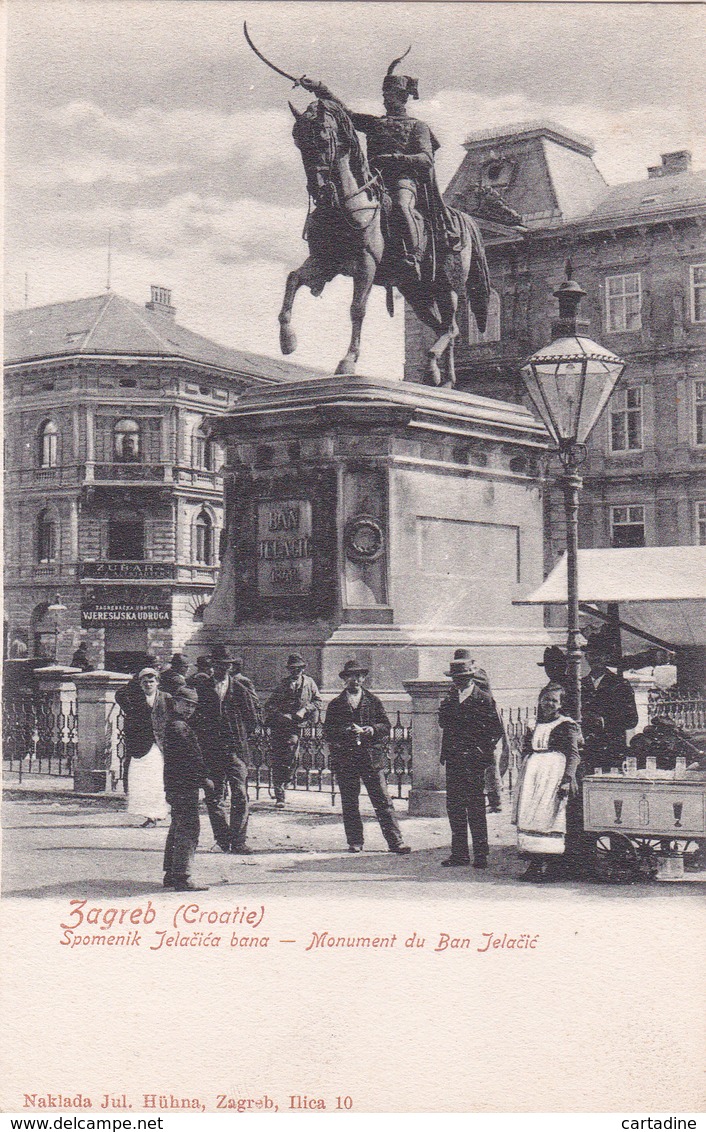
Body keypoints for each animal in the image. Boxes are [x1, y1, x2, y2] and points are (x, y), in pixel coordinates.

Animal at [278, 98, 493, 389]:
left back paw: (437, 369)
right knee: (441, 326)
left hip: (447, 287)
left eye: (322, 139)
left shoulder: (365, 264)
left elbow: (357, 309)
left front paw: (348, 361)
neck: (346, 205)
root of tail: (465, 219)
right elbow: (292, 280)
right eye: (298, 141)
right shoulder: (323, 262)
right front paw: (287, 340)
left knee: (451, 327)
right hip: (417, 293)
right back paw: (442, 378)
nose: (318, 189)